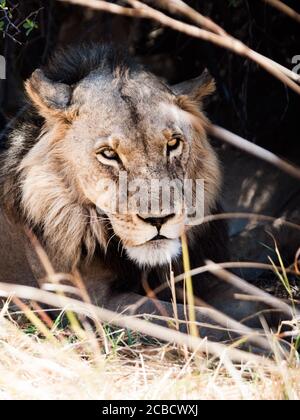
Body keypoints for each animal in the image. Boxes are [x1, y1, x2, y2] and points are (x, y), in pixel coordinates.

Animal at [0, 45, 278, 342]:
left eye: (173, 144)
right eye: (108, 154)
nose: (158, 220)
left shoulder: (198, 278)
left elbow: (259, 303)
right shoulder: (90, 304)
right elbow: (197, 321)